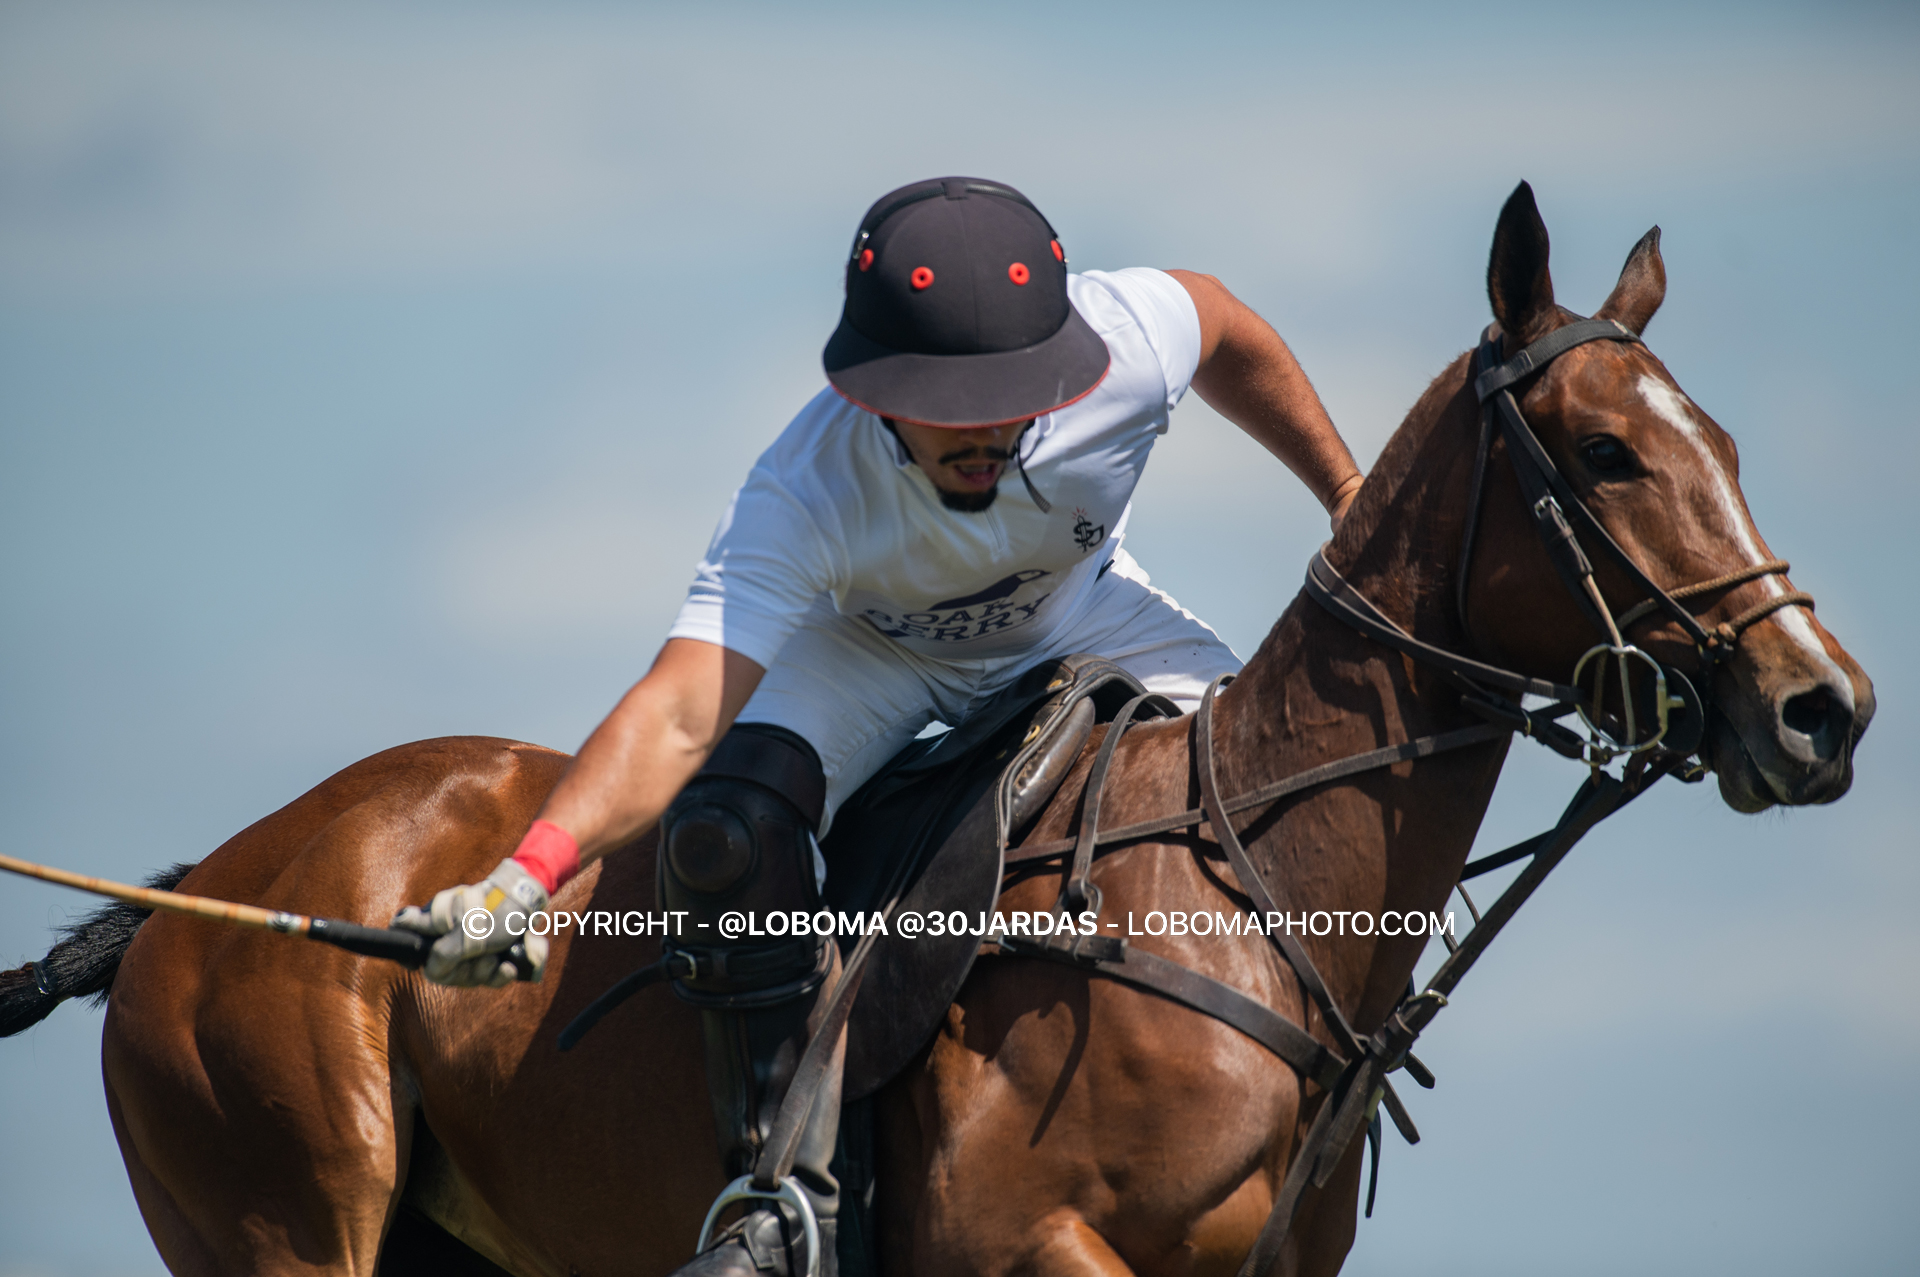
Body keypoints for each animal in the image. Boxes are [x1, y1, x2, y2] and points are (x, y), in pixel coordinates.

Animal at [0, 181, 1873, 1275]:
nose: (1823, 704)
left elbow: (1203, 308)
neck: (1251, 899)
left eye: (1719, 437)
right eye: (1608, 454)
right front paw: (488, 920)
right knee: (737, 802)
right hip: (278, 1218)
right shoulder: (1025, 1244)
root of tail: (199, 890)